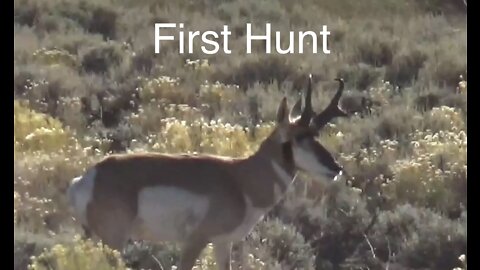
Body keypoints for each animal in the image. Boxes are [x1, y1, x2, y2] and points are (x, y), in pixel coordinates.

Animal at [66, 75, 348, 270]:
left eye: (316, 135)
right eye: (299, 137)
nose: (336, 168)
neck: (241, 180)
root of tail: (87, 178)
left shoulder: (223, 243)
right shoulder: (196, 241)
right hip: (113, 240)